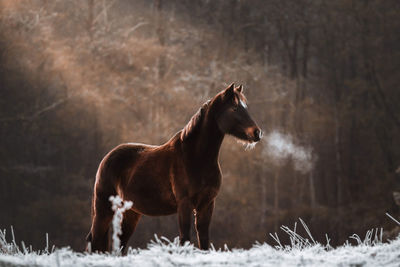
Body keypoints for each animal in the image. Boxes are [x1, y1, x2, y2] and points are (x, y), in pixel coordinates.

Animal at [86, 84, 262, 253]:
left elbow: (204, 240)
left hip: (131, 212)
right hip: (103, 209)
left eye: (245, 106)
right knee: (96, 239)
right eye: (234, 108)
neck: (195, 157)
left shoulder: (207, 204)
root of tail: (106, 159)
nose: (257, 133)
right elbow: (185, 238)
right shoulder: (185, 203)